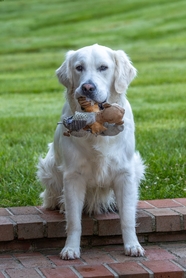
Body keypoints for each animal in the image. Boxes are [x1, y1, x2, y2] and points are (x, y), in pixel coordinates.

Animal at [37, 43, 145, 258]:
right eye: (79, 68)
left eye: (103, 67)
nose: (87, 87)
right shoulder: (73, 176)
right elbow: (74, 222)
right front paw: (70, 248)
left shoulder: (125, 173)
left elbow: (127, 218)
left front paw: (132, 245)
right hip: (49, 165)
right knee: (53, 196)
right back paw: (60, 205)